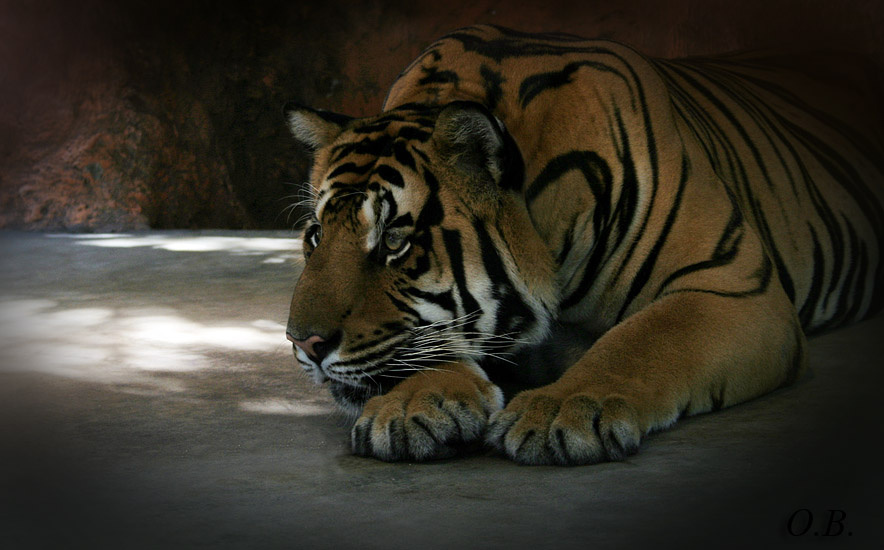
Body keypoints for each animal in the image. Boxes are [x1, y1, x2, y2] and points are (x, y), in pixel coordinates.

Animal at [283, 24, 884, 465]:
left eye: (394, 241)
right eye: (316, 236)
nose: (303, 343)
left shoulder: (732, 285)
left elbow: (644, 340)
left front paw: (563, 410)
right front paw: (412, 404)